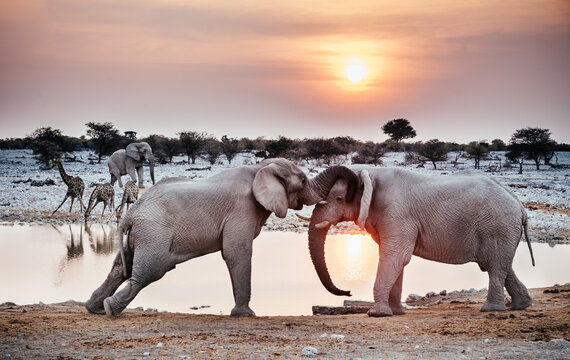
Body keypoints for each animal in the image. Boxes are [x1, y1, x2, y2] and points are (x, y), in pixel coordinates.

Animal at [85, 159, 356, 316]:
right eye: (302, 180)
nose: (350, 292)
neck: (259, 168)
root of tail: (131, 214)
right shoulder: (242, 209)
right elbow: (237, 252)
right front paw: (246, 315)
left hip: (140, 235)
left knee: (120, 269)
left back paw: (94, 308)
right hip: (154, 234)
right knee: (148, 272)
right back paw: (110, 309)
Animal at [300, 167, 536, 316]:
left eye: (339, 199)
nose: (349, 292)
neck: (370, 173)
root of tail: (520, 205)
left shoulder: (397, 213)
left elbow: (394, 256)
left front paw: (377, 314)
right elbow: (396, 260)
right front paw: (395, 313)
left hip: (498, 226)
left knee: (495, 266)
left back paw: (491, 310)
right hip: (502, 230)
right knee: (500, 265)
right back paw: (520, 306)